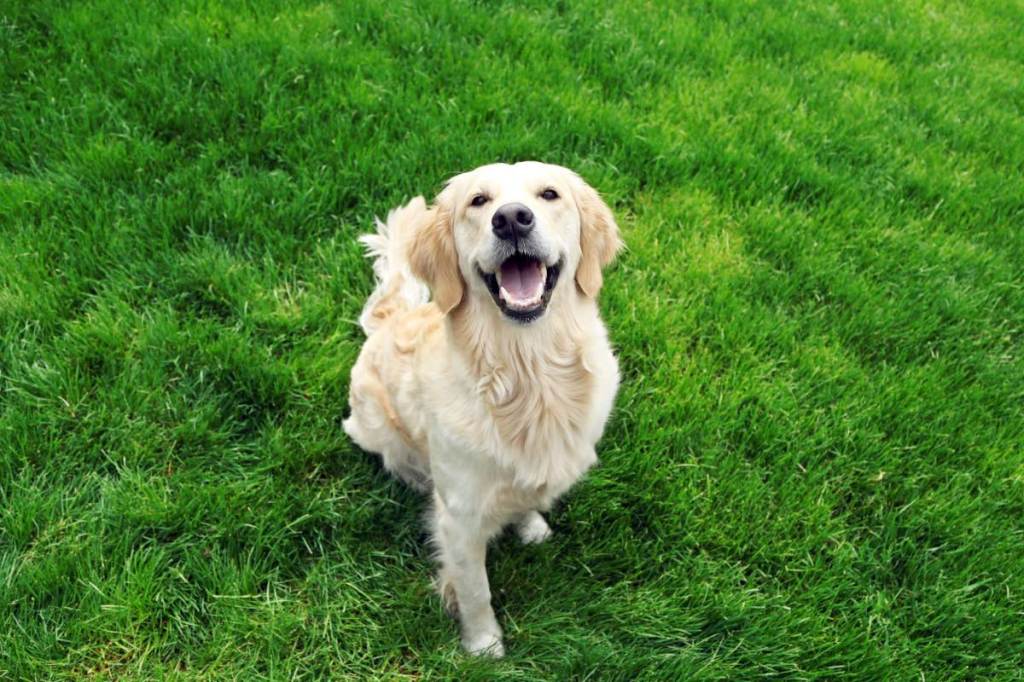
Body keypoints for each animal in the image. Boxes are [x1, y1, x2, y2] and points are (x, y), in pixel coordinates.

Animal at [342, 160, 622, 655]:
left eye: (549, 194)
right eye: (478, 201)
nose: (511, 219)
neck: (528, 375)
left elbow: (524, 494)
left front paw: (530, 525)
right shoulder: (459, 517)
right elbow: (475, 589)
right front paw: (483, 645)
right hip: (373, 425)